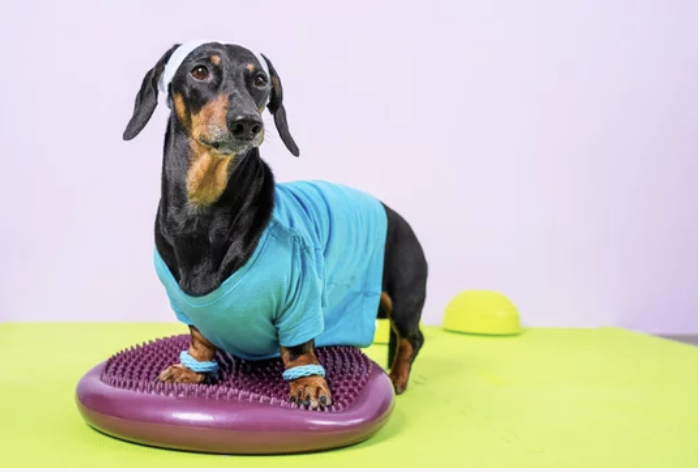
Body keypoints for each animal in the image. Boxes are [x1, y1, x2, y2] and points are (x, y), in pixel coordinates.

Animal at [122, 40, 428, 410]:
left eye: (260, 80)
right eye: (200, 71)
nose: (247, 124)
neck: (204, 208)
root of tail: (396, 216)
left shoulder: (301, 298)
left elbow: (297, 350)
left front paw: (308, 384)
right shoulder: (187, 307)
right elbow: (199, 338)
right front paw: (191, 369)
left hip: (403, 299)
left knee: (412, 338)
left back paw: (397, 377)